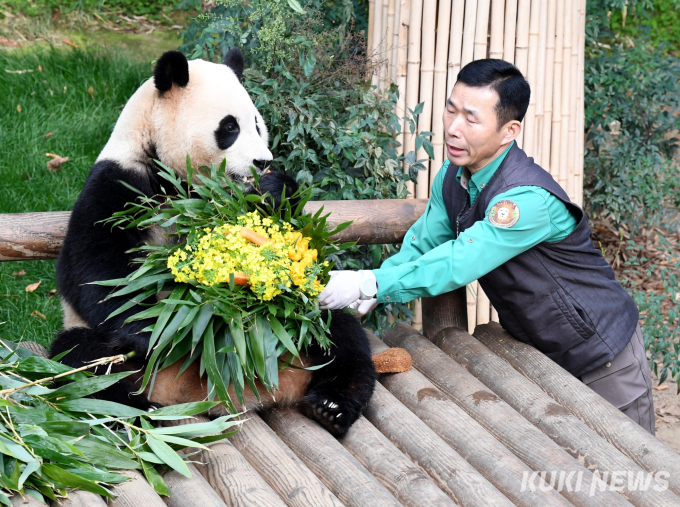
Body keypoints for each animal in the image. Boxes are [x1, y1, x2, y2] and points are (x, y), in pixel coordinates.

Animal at [49, 49, 378, 436]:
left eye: (257, 125)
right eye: (230, 127)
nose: (262, 161)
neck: (179, 183)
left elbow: (296, 237)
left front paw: (273, 191)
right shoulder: (119, 184)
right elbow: (94, 271)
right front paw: (158, 331)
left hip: (304, 323)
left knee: (341, 337)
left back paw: (331, 407)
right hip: (100, 350)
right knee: (82, 362)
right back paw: (136, 412)